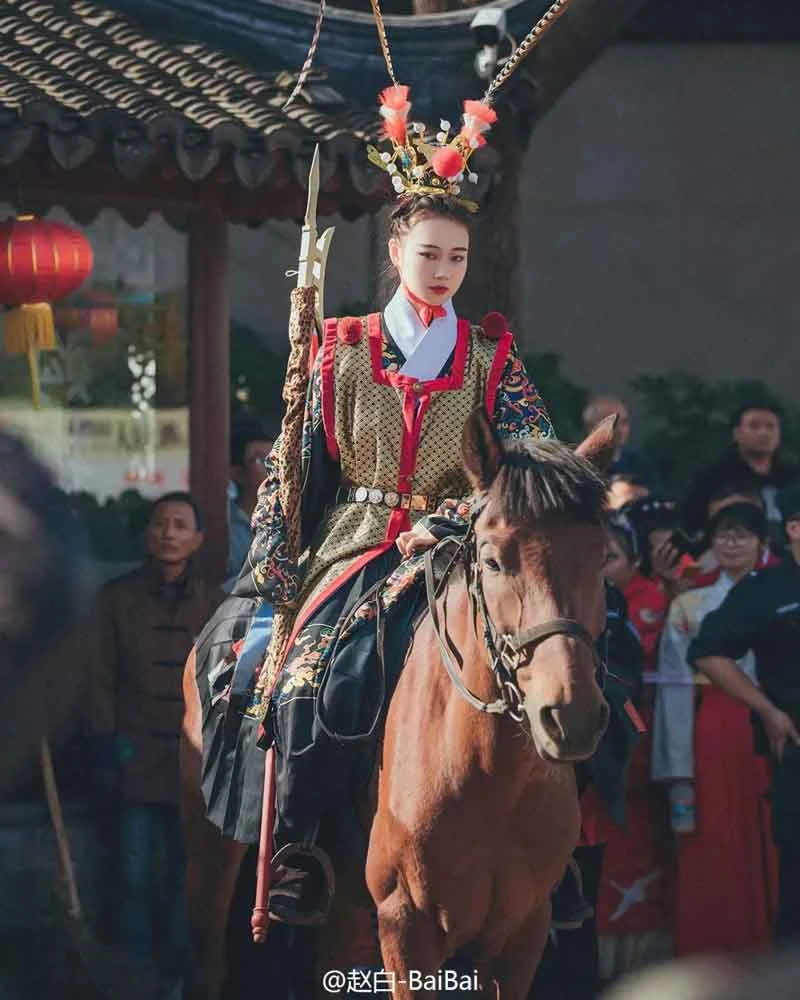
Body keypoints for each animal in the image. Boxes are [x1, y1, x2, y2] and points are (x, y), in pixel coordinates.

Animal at [184, 410, 616, 996]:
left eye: (600, 559)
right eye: (494, 561)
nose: (568, 712)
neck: (487, 769)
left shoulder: (522, 931)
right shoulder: (407, 923)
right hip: (210, 849)